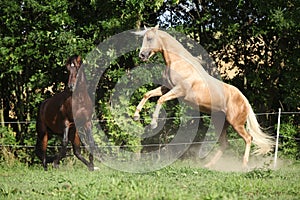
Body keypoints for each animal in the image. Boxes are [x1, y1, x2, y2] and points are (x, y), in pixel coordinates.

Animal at [134, 26, 274, 167]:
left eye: (150, 38)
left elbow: (160, 99)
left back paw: (243, 166)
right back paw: (209, 165)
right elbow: (148, 94)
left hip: (236, 124)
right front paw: (136, 115)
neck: (179, 63)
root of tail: (244, 100)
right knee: (225, 144)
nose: (141, 55)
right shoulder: (166, 88)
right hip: (221, 124)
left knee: (248, 138)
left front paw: (153, 123)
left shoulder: (179, 90)